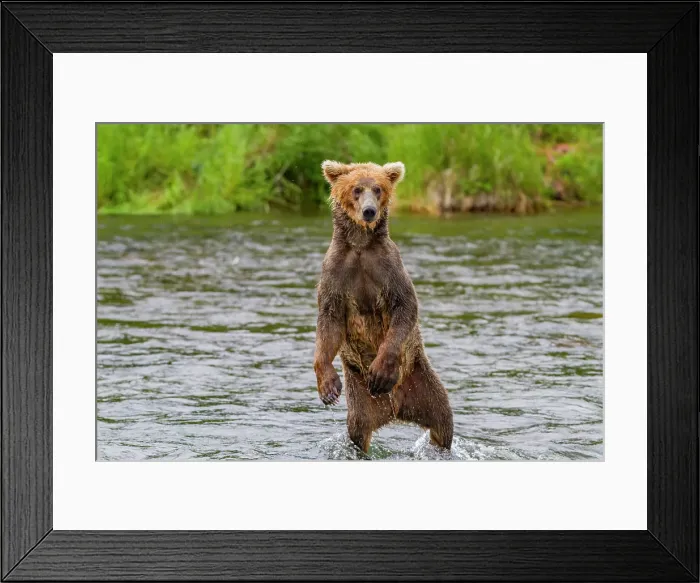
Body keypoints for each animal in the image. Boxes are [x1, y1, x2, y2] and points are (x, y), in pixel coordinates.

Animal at [313, 160, 454, 453]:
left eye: (378, 188)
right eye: (356, 189)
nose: (369, 211)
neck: (360, 245)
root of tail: (396, 407)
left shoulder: (388, 267)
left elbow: (405, 308)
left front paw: (380, 371)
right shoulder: (335, 273)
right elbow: (329, 322)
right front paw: (328, 387)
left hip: (422, 382)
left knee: (442, 421)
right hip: (360, 398)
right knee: (358, 430)